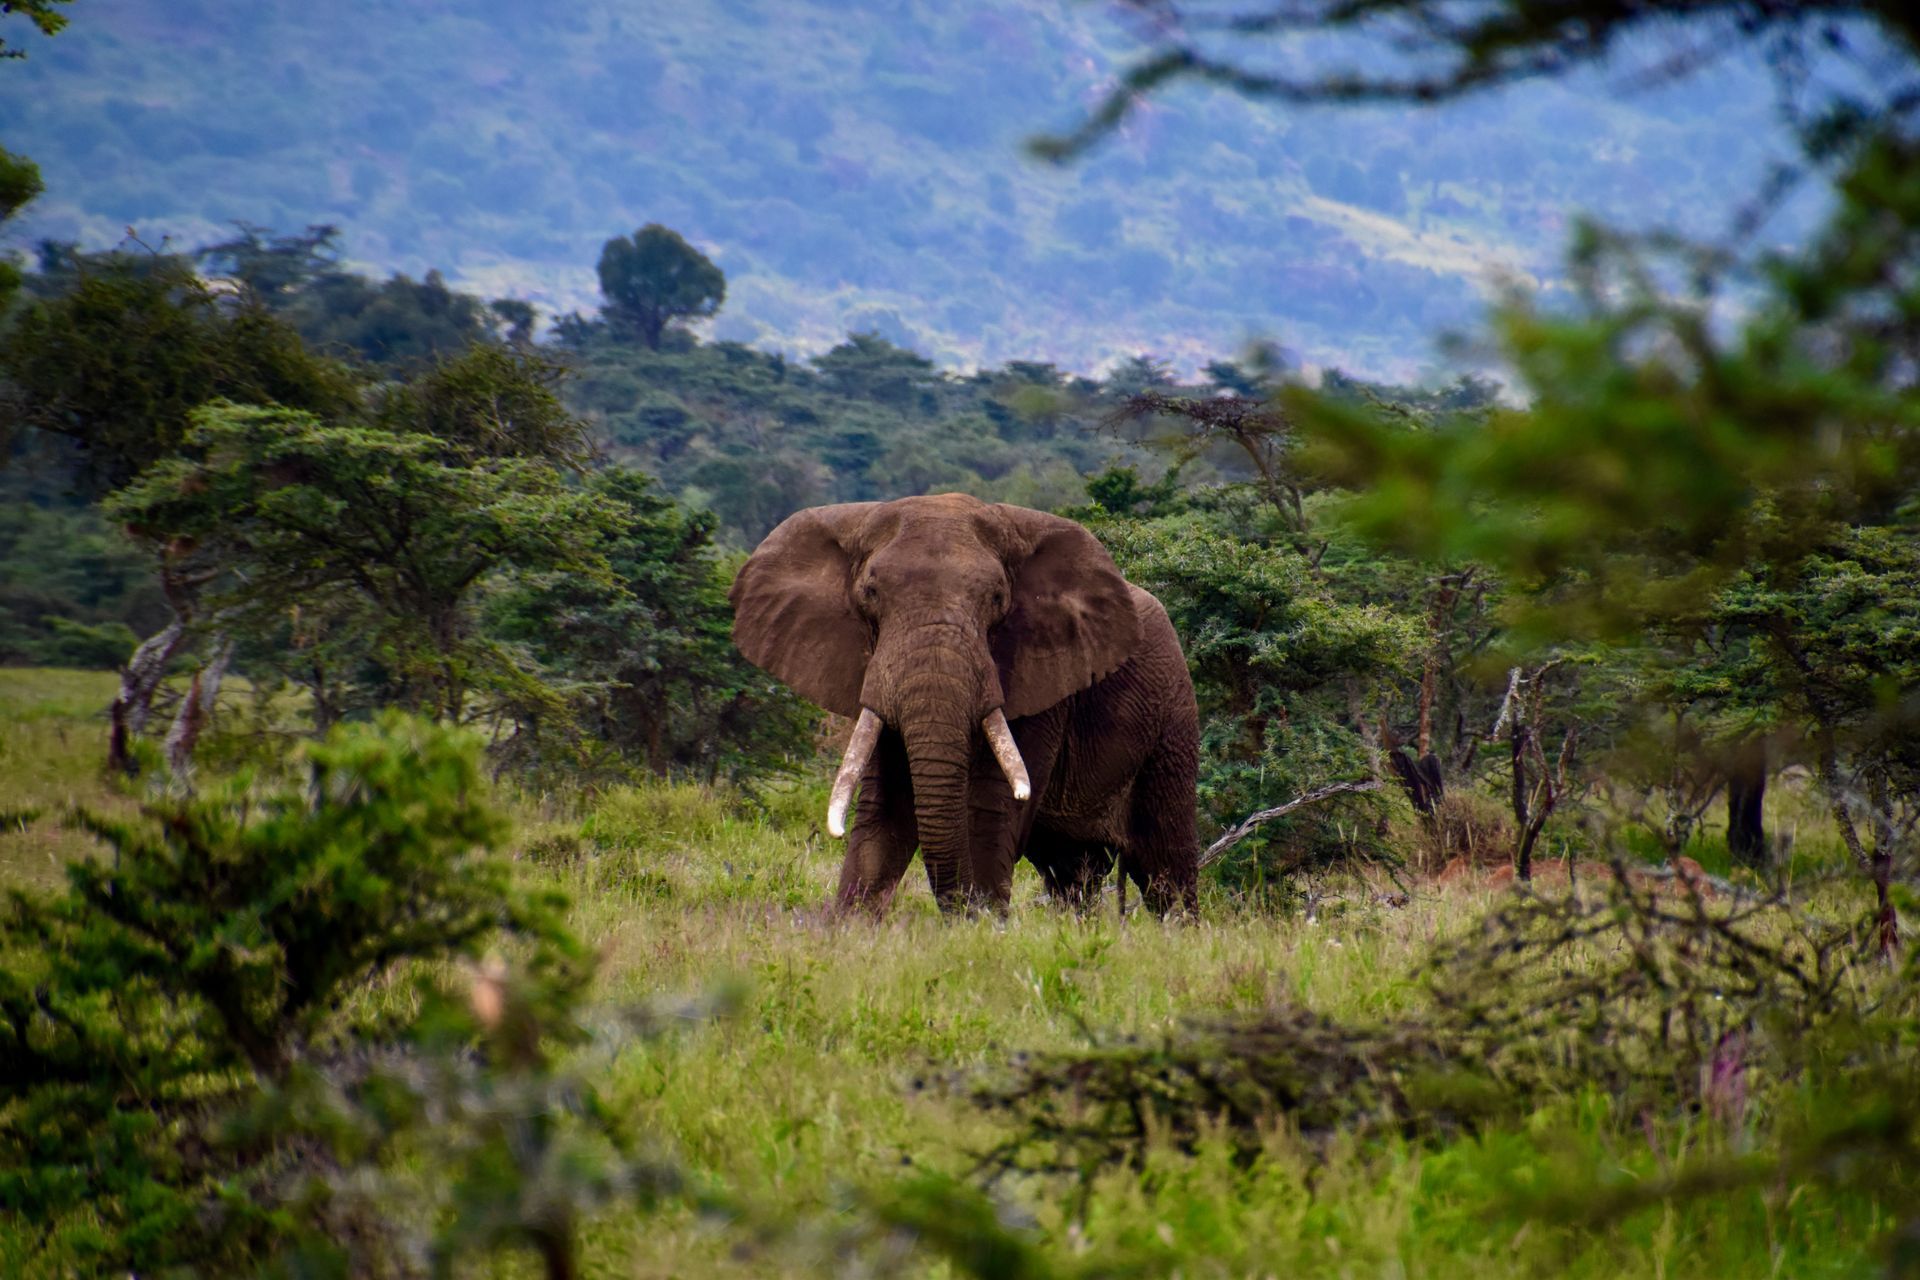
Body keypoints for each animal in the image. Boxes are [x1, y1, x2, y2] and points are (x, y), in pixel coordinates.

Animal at [729, 492, 1199, 915]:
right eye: (871, 593)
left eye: (996, 599)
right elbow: (886, 809)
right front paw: (851, 928)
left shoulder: (1038, 676)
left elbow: (990, 810)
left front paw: (978, 929)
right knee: (1073, 870)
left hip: (1173, 718)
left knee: (1165, 867)